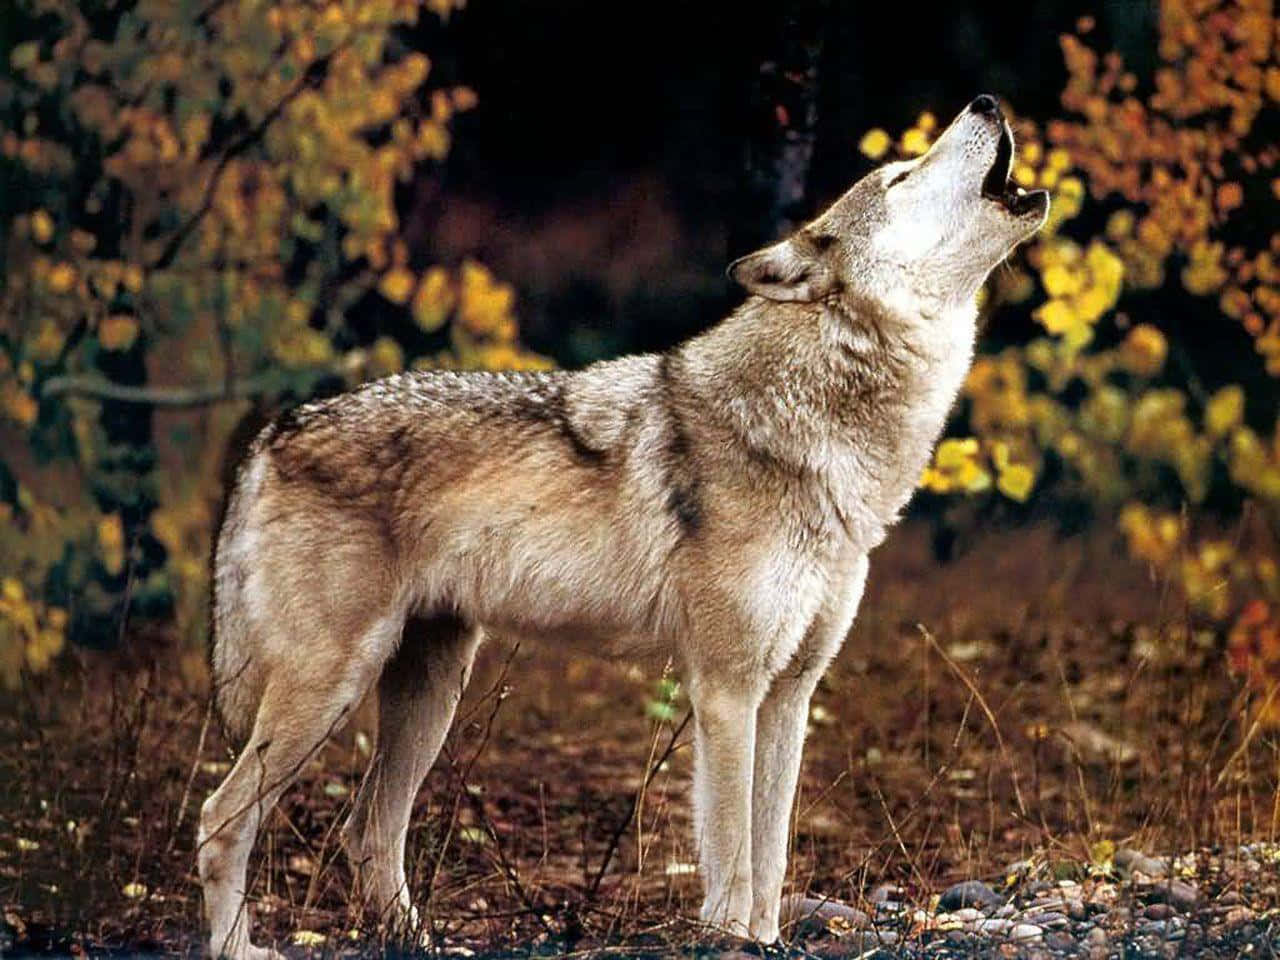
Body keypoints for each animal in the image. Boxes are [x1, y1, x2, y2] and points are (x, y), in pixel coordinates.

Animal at [197, 95, 1047, 957]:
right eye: (900, 175)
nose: (986, 102)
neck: (819, 431)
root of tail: (277, 428)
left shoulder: (790, 694)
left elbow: (772, 856)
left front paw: (767, 940)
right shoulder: (727, 689)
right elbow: (734, 856)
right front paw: (732, 941)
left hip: (430, 691)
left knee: (366, 827)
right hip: (330, 688)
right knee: (219, 819)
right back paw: (238, 945)